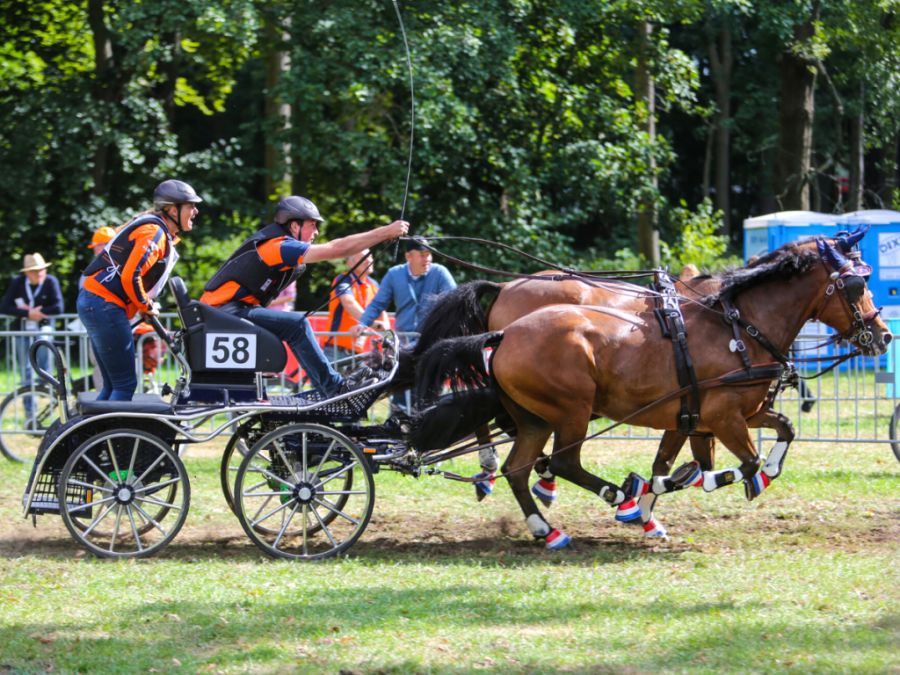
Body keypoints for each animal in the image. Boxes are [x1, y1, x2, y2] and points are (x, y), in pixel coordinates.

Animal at [412, 234, 888, 548]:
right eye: (856, 285)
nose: (883, 336)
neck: (739, 328)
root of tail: (504, 333)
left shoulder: (711, 416)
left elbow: (782, 429)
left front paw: (655, 510)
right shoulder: (721, 418)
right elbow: (737, 464)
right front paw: (680, 485)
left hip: (536, 417)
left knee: (519, 466)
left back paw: (546, 527)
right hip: (571, 412)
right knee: (562, 461)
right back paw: (615, 496)